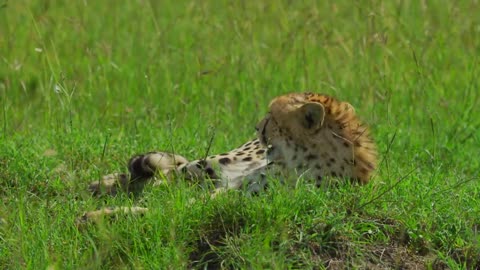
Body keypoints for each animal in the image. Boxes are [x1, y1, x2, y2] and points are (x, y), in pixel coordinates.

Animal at [81, 92, 376, 223]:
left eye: (272, 117)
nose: (257, 127)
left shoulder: (229, 197)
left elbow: (165, 210)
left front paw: (100, 216)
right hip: (210, 164)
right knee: (168, 174)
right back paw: (104, 182)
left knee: (164, 181)